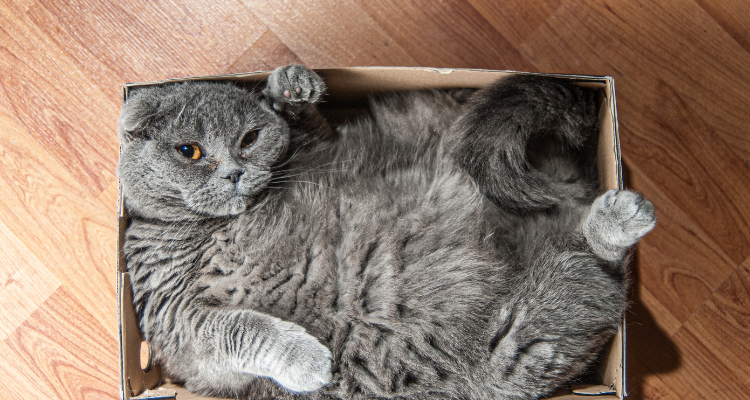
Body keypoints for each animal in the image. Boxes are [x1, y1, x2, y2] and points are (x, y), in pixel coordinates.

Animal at [119, 65, 656, 400]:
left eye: (249, 139)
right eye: (189, 151)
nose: (233, 173)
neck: (217, 225)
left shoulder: (323, 146)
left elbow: (313, 126)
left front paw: (292, 88)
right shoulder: (178, 318)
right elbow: (240, 327)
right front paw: (308, 361)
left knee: (597, 265)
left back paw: (618, 214)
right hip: (521, 344)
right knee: (592, 269)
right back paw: (618, 216)